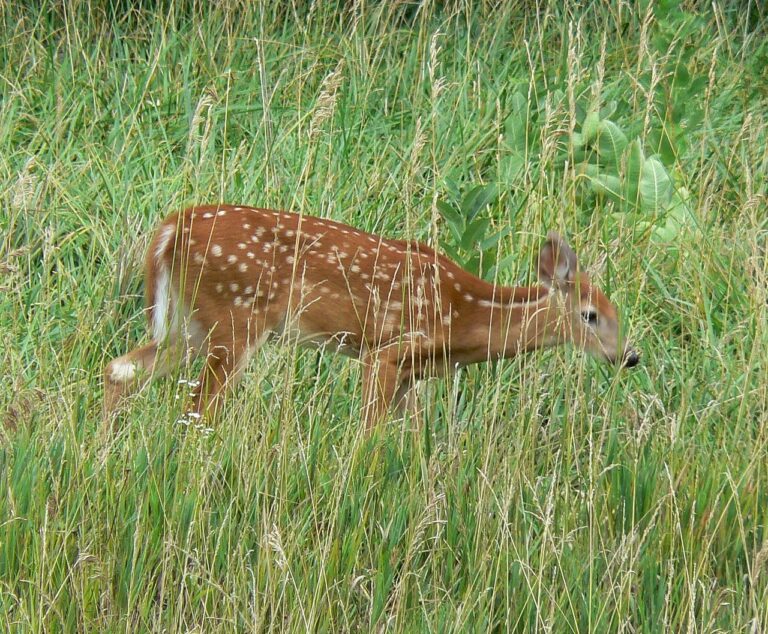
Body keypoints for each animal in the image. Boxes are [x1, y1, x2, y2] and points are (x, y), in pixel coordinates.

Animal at [104, 204, 639, 430]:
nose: (630, 356)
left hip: (190, 324)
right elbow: (370, 433)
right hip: (235, 316)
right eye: (592, 315)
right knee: (198, 405)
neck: (462, 315)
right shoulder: (387, 352)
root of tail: (171, 228)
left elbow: (416, 438)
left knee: (121, 368)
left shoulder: (411, 375)